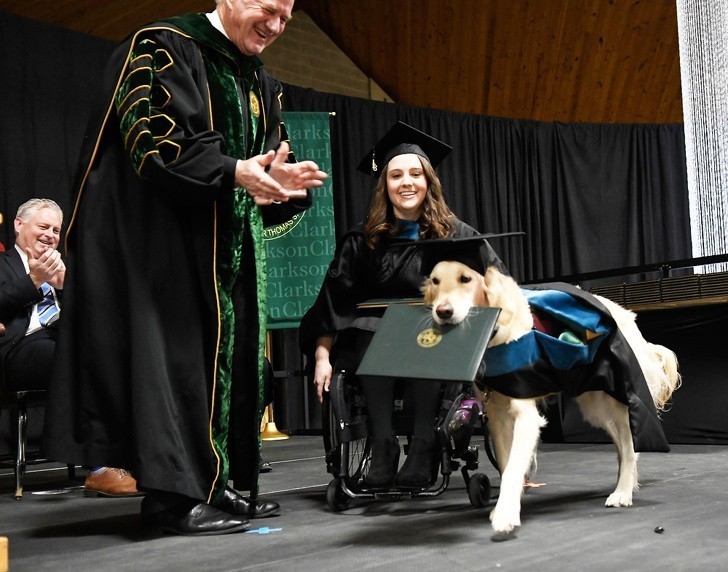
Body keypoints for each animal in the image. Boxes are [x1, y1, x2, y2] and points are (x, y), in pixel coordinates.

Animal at [418, 238, 680, 536]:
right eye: (435, 281)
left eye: (465, 278)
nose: (443, 312)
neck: (494, 333)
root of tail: (626, 315)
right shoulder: (497, 414)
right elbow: (506, 462)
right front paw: (507, 504)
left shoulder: (525, 414)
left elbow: (513, 466)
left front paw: (505, 514)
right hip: (594, 404)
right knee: (622, 447)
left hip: (615, 397)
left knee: (629, 444)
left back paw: (623, 491)